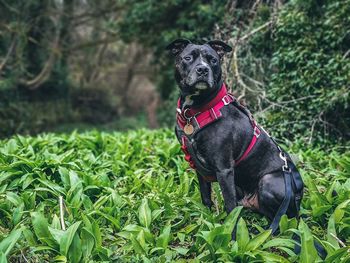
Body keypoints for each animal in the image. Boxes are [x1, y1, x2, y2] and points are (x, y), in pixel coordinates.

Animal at [167, 38, 304, 234]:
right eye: (188, 58)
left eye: (212, 60)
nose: (203, 69)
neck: (196, 110)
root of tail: (299, 195)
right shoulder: (198, 167)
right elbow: (205, 198)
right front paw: (206, 221)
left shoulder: (224, 169)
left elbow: (230, 207)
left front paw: (231, 235)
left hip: (269, 181)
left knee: (282, 218)